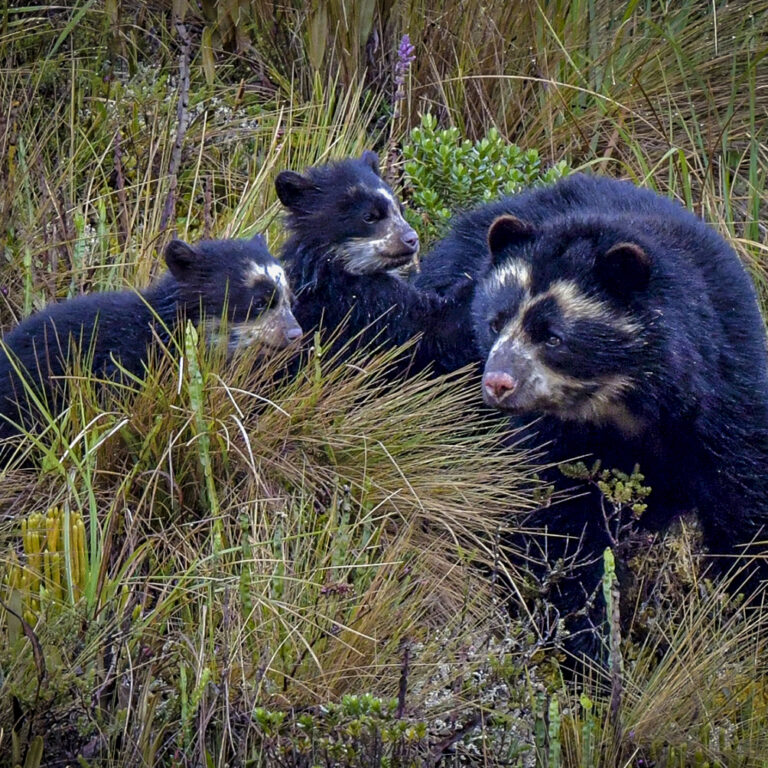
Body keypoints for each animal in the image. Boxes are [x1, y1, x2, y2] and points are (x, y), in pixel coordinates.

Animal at [272, 151, 472, 376]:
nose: (412, 239)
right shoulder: (363, 307)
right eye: (369, 216)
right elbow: (430, 331)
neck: (335, 267)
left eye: (400, 209)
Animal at [468, 177, 768, 656]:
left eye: (552, 336)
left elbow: (747, 511)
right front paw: (582, 643)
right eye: (495, 322)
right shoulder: (551, 440)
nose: (498, 383)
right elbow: (560, 530)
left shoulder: (727, 395)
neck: (626, 402)